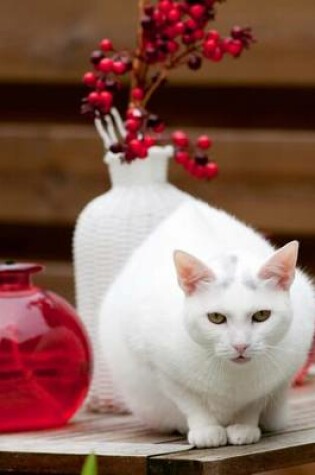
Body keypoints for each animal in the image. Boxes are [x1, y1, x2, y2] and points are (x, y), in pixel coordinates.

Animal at [99, 203, 315, 448]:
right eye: (216, 318)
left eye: (261, 315)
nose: (241, 345)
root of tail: (189, 207)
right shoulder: (160, 367)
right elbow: (191, 403)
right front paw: (206, 430)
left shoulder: (281, 372)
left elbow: (254, 402)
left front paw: (244, 426)